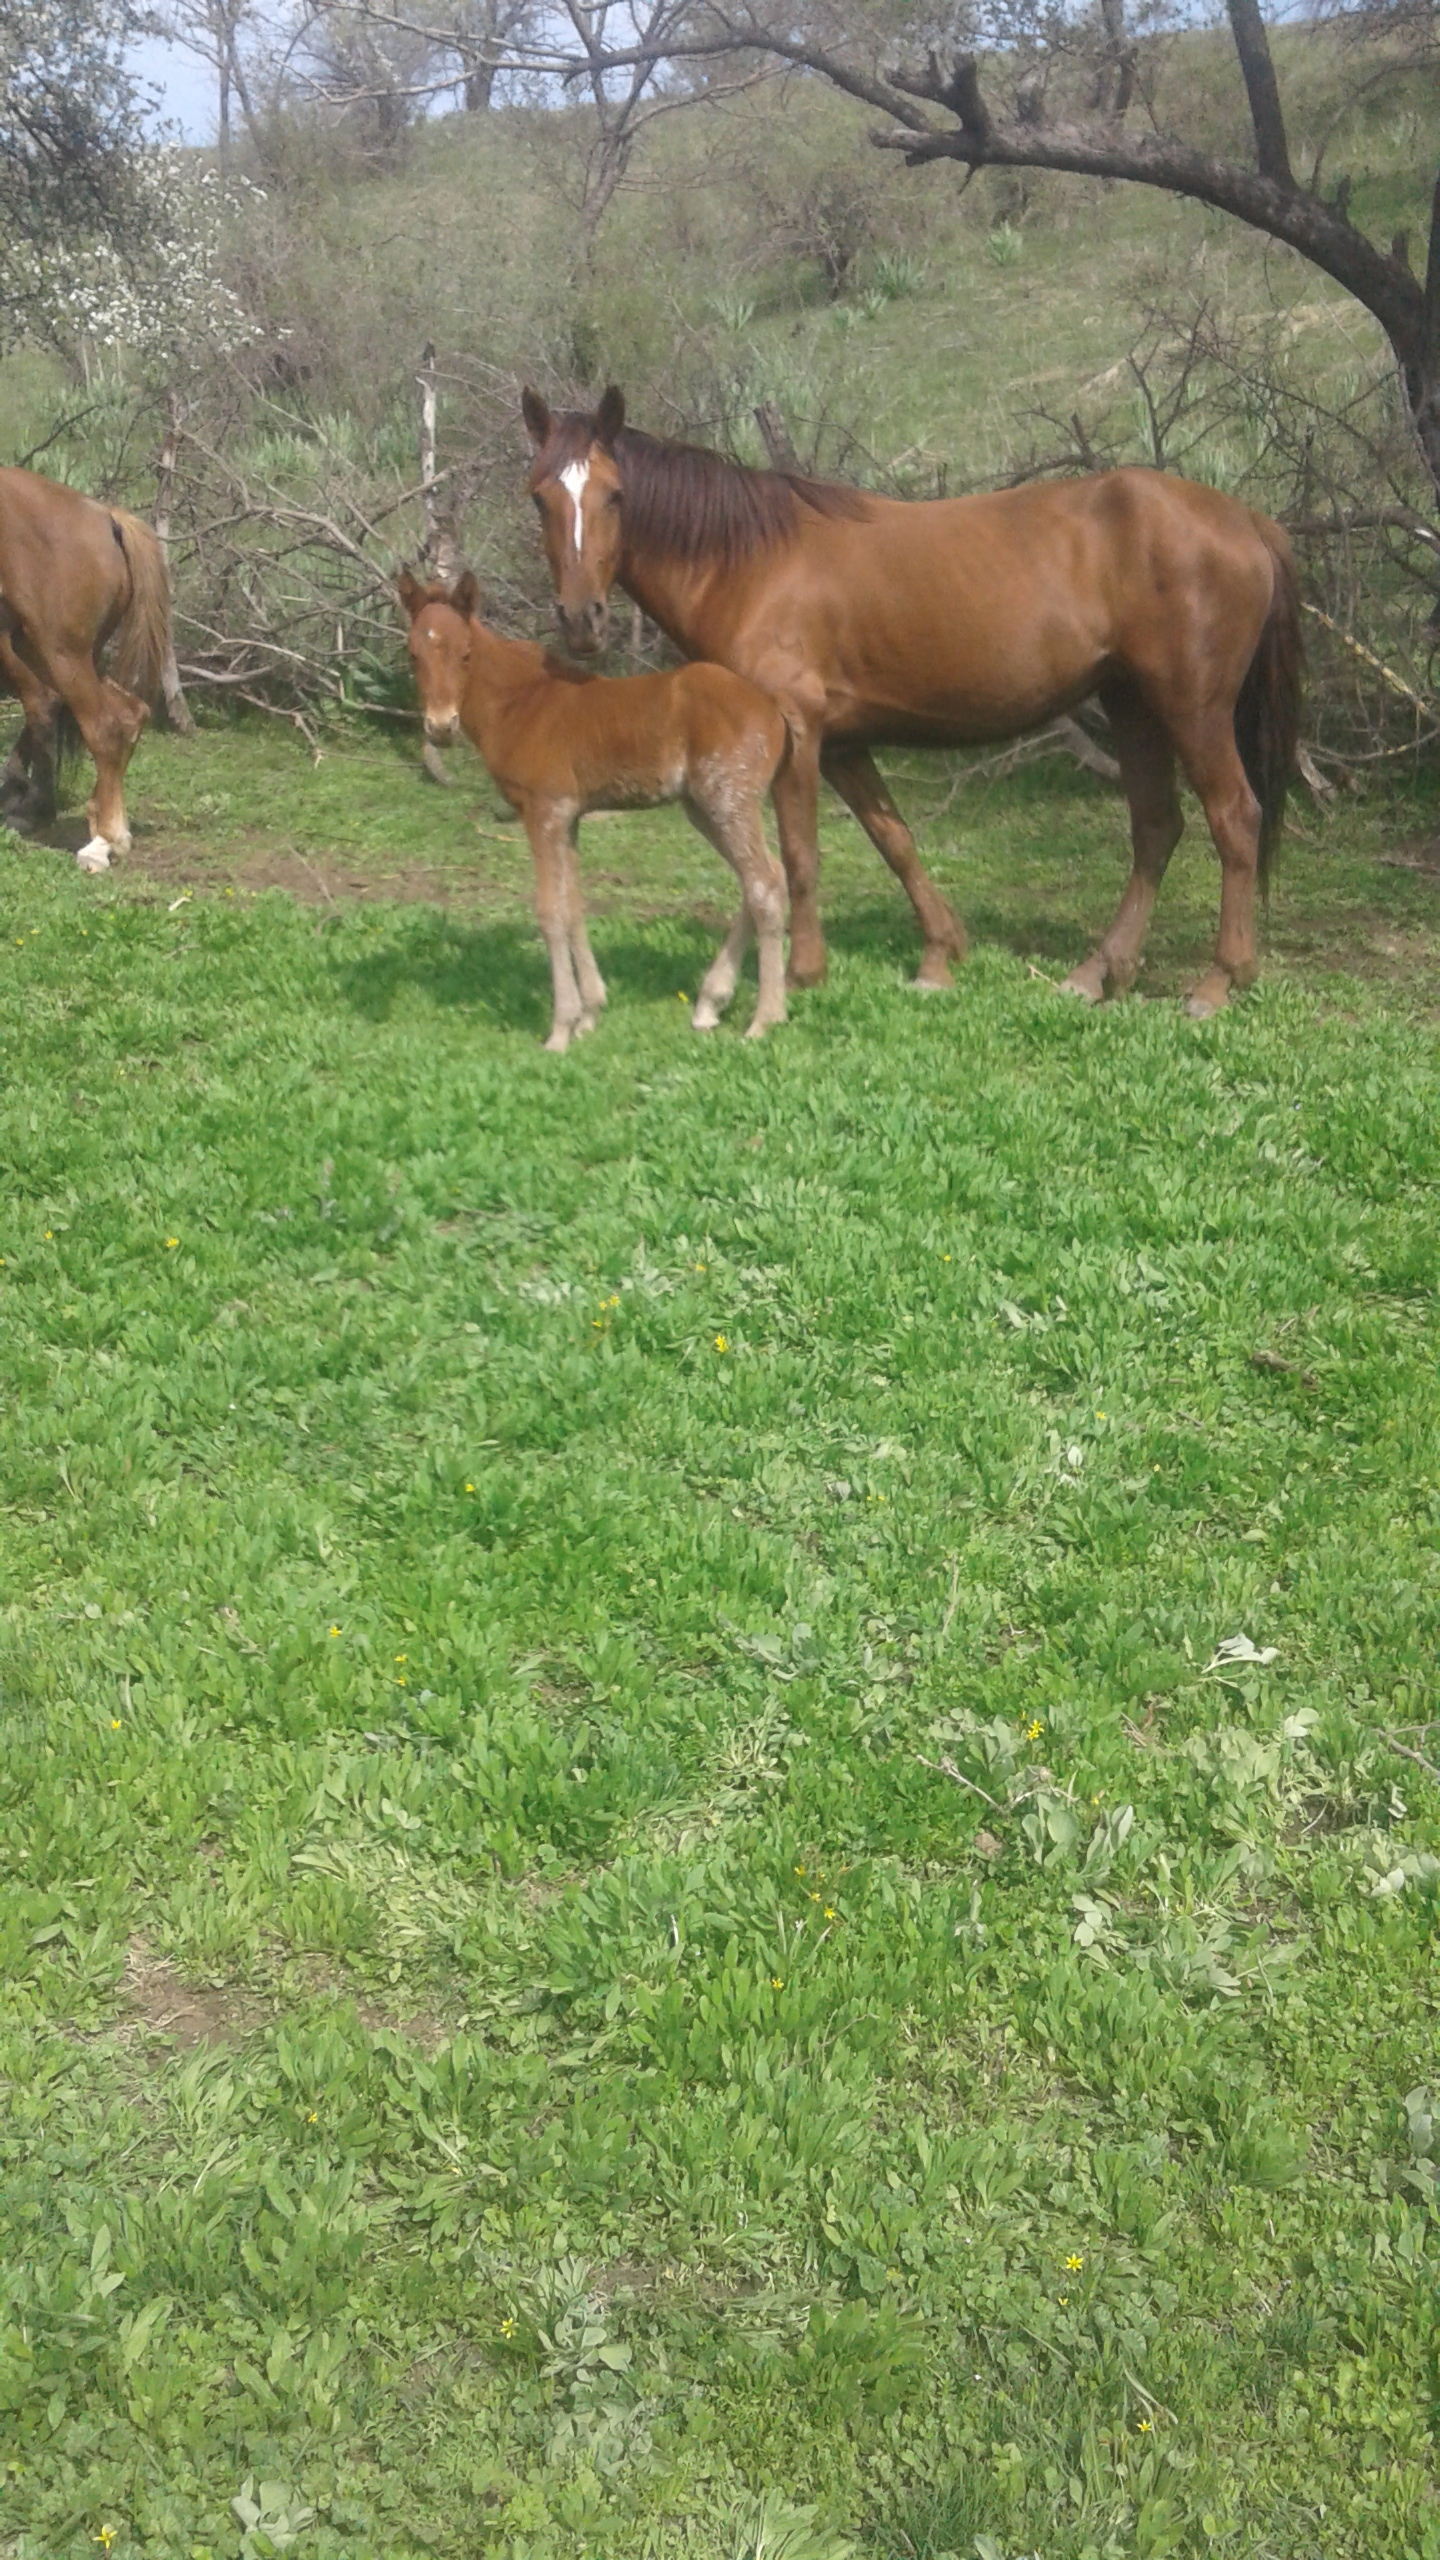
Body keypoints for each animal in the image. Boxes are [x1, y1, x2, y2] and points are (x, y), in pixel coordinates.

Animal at [0, 473, 169, 880]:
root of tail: (107, 517)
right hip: (41, 651)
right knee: (126, 712)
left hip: (59, 651)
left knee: (102, 724)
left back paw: (102, 843)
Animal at [397, 576, 789, 1054]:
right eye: (413, 653)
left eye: (465, 653)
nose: (440, 727)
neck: (519, 702)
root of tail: (773, 711)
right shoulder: (569, 818)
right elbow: (574, 907)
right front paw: (590, 1014)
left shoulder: (544, 812)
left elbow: (550, 913)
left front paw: (560, 1029)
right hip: (704, 808)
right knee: (766, 876)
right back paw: (711, 1003)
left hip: (728, 799)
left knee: (764, 885)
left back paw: (764, 1019)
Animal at [517, 384, 1301, 1013]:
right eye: (539, 495)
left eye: (615, 495)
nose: (581, 619)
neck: (750, 561)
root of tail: (1246, 519)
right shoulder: (843, 742)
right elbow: (893, 839)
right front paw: (940, 956)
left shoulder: (796, 730)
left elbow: (800, 853)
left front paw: (803, 972)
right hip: (1132, 705)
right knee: (1156, 828)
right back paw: (1098, 973)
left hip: (1192, 709)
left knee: (1234, 819)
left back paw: (1218, 982)